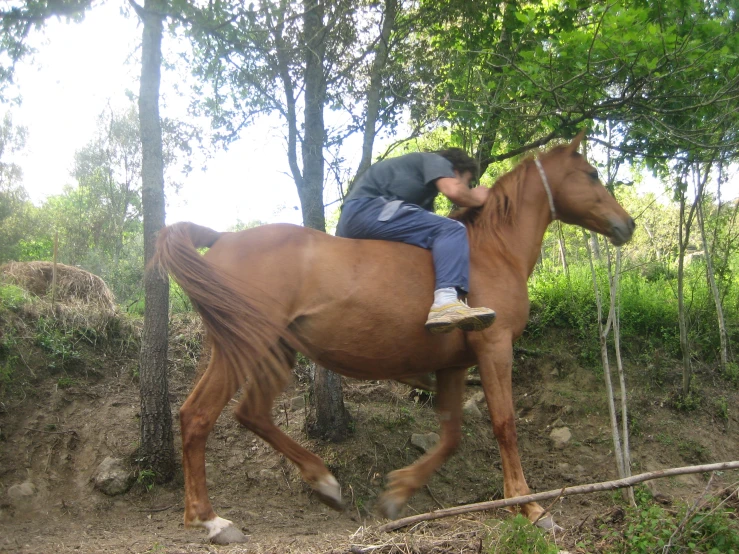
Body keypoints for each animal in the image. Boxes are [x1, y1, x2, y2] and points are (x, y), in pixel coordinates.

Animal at [152, 132, 636, 540]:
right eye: (592, 174)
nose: (627, 224)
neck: (493, 250)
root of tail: (222, 238)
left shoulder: (454, 363)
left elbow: (452, 434)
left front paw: (398, 492)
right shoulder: (494, 346)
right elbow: (504, 424)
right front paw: (529, 507)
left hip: (272, 350)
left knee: (250, 413)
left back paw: (322, 481)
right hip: (246, 348)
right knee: (197, 416)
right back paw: (210, 519)